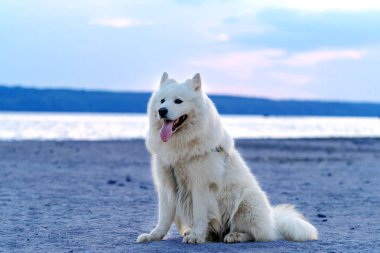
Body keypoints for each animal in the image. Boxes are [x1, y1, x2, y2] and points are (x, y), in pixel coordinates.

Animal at [137, 72, 318, 243]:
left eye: (178, 101)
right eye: (162, 101)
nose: (162, 111)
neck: (181, 146)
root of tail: (273, 223)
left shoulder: (201, 185)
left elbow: (199, 214)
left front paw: (196, 236)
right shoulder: (166, 184)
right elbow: (164, 218)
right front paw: (154, 236)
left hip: (245, 202)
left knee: (256, 234)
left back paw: (235, 235)